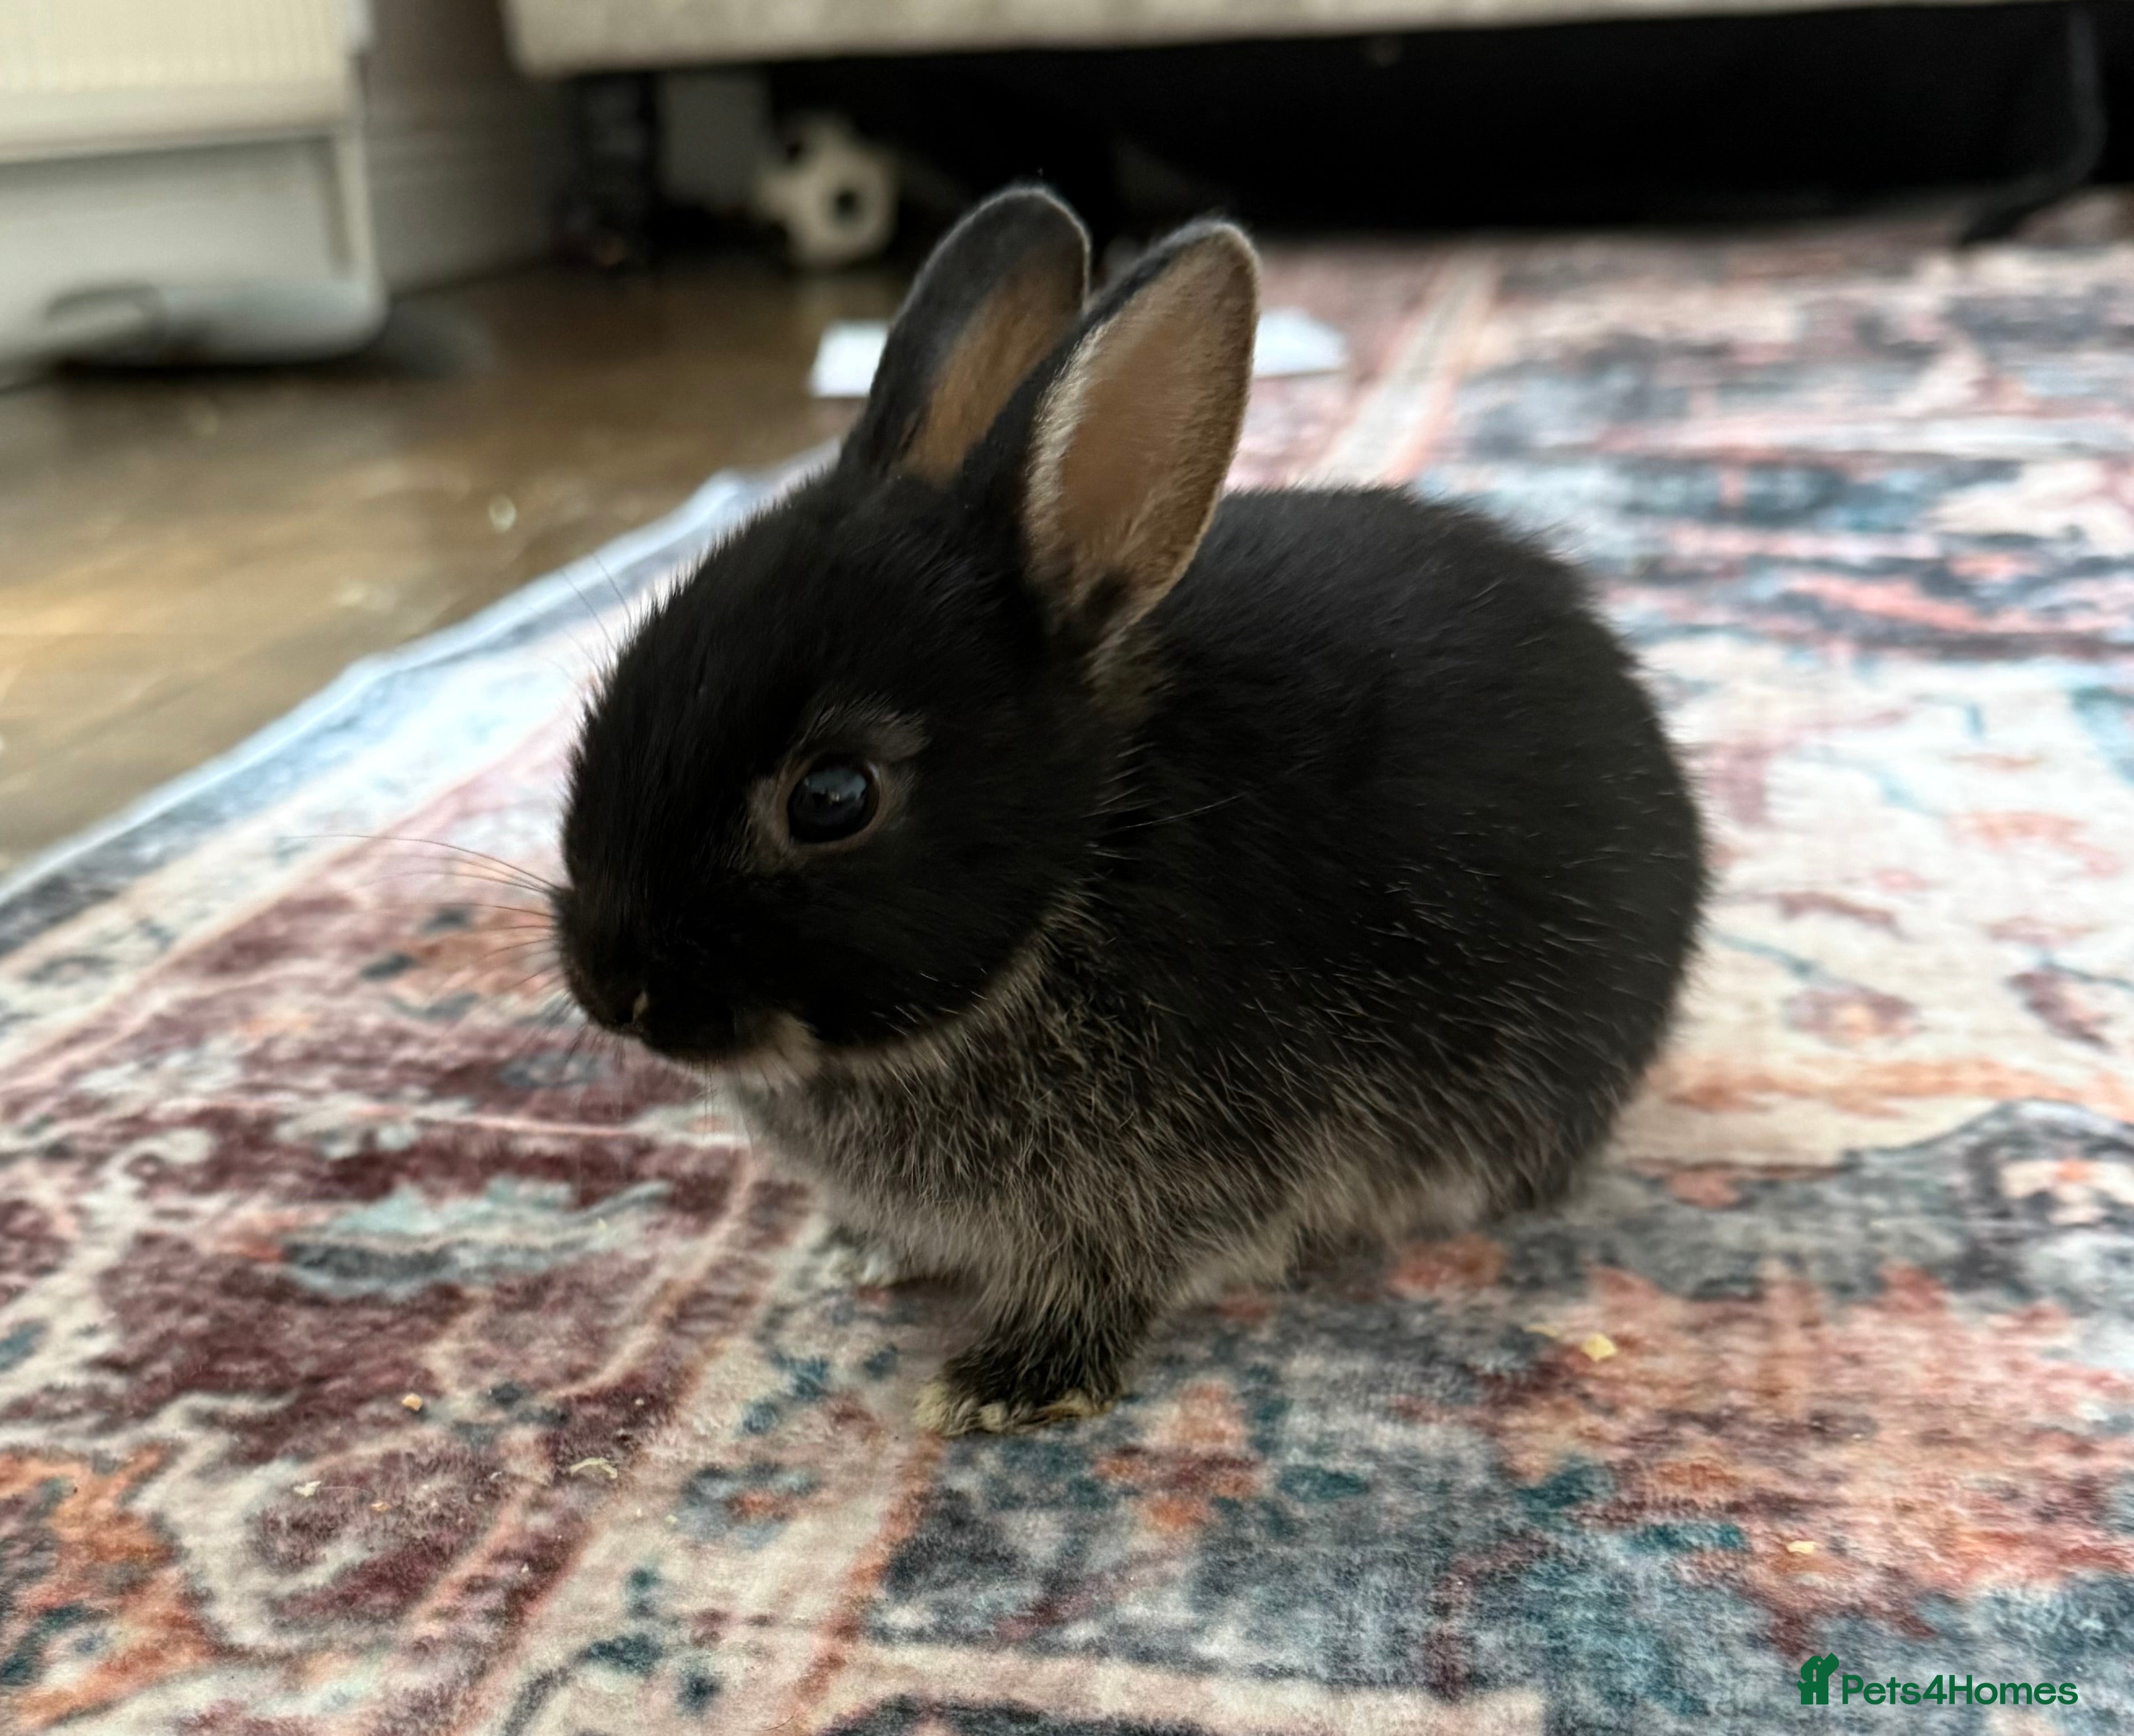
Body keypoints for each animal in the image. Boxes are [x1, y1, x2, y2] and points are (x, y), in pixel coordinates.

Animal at [553, 185, 1707, 1435]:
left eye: (833, 798)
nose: (610, 988)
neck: (1084, 863)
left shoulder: (1189, 1169)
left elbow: (1119, 1268)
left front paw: (1010, 1382)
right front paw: (862, 1251)